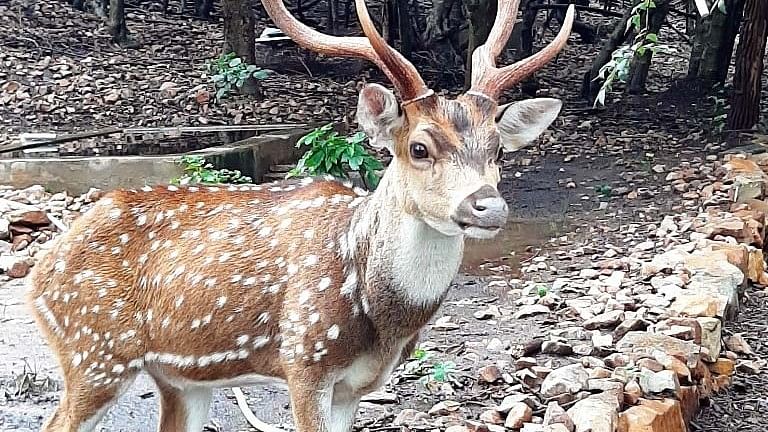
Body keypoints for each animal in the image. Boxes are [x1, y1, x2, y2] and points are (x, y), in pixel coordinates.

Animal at [27, 0, 572, 432]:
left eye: (497, 150)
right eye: (419, 148)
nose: (488, 205)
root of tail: (39, 272)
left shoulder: (356, 385)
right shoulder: (304, 359)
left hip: (178, 376)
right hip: (93, 352)